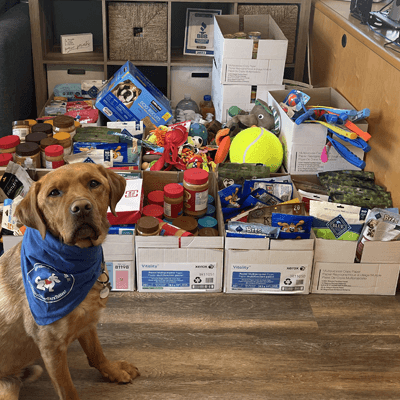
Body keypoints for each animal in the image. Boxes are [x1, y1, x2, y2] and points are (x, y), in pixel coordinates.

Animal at [0, 163, 140, 400]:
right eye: (54, 193)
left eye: (93, 183)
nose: (82, 207)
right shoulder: (51, 346)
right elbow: (68, 389)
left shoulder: (87, 321)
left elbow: (96, 352)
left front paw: (112, 370)